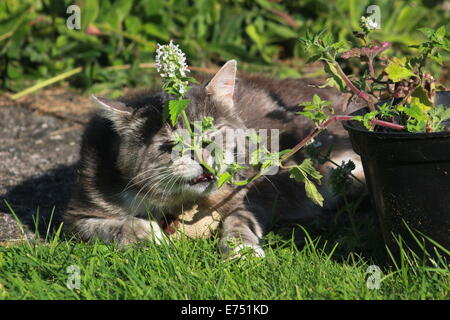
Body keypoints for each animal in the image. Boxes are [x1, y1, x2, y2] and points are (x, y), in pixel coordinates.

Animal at [64, 60, 366, 258]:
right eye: (170, 145)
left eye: (211, 133)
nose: (203, 157)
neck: (180, 202)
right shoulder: (78, 212)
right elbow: (107, 226)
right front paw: (147, 234)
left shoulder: (250, 193)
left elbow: (239, 218)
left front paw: (242, 250)